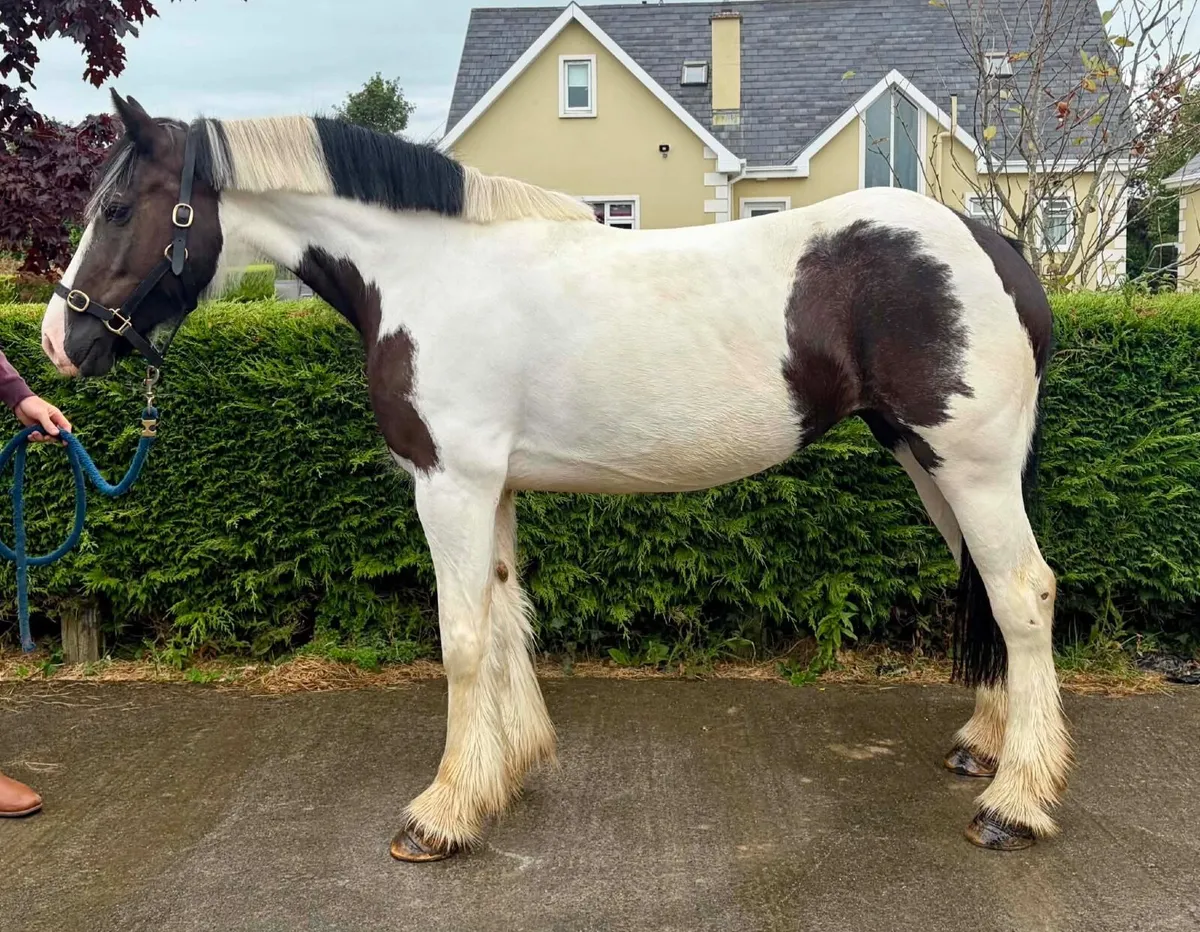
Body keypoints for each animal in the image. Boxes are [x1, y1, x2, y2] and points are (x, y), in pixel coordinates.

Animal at [40, 91, 1070, 861]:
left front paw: (440, 814)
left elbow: (461, 637)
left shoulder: (448, 483)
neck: (429, 272)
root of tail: (994, 247)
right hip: (927, 461)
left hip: (971, 466)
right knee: (984, 585)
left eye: (119, 209)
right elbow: (503, 617)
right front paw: (504, 772)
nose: (59, 339)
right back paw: (987, 747)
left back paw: (1015, 805)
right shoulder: (488, 486)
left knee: (1023, 593)